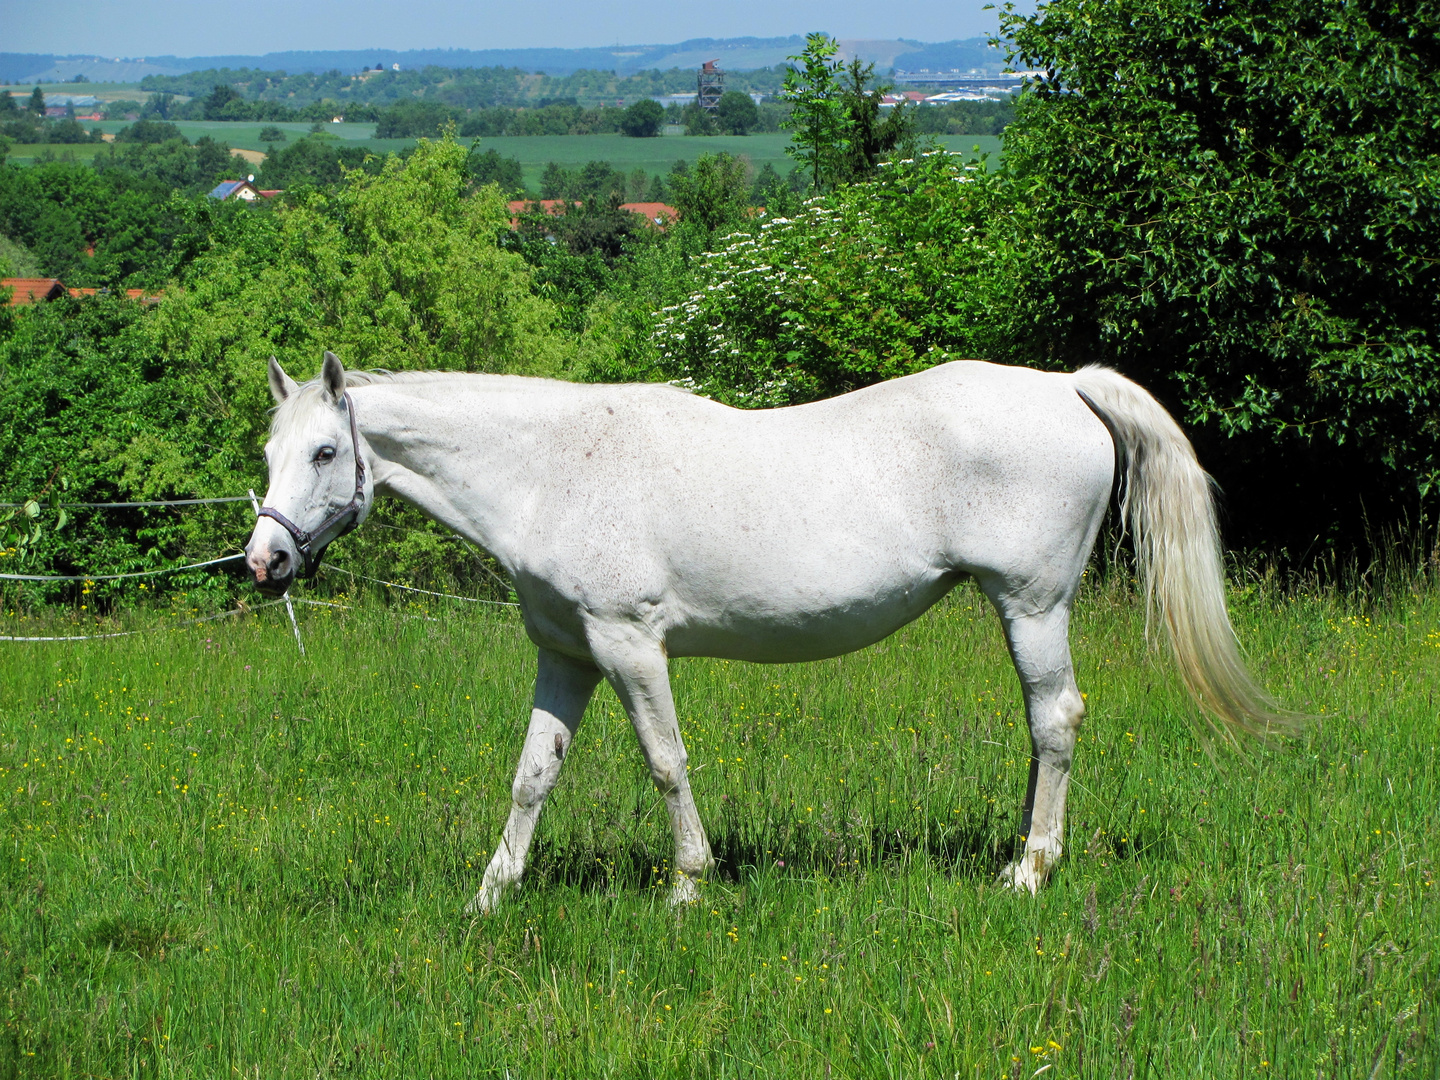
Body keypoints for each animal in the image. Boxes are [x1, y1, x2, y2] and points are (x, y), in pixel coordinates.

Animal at [244, 355, 1284, 915]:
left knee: (1057, 720)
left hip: (1033, 605)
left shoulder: (629, 647)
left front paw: (687, 886)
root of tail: (1068, 388)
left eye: (326, 451)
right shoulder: (568, 655)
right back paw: (1020, 852)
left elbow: (666, 763)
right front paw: (489, 896)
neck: (551, 471)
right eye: (269, 451)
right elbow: (533, 775)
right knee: (1043, 731)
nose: (263, 561)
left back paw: (1030, 872)